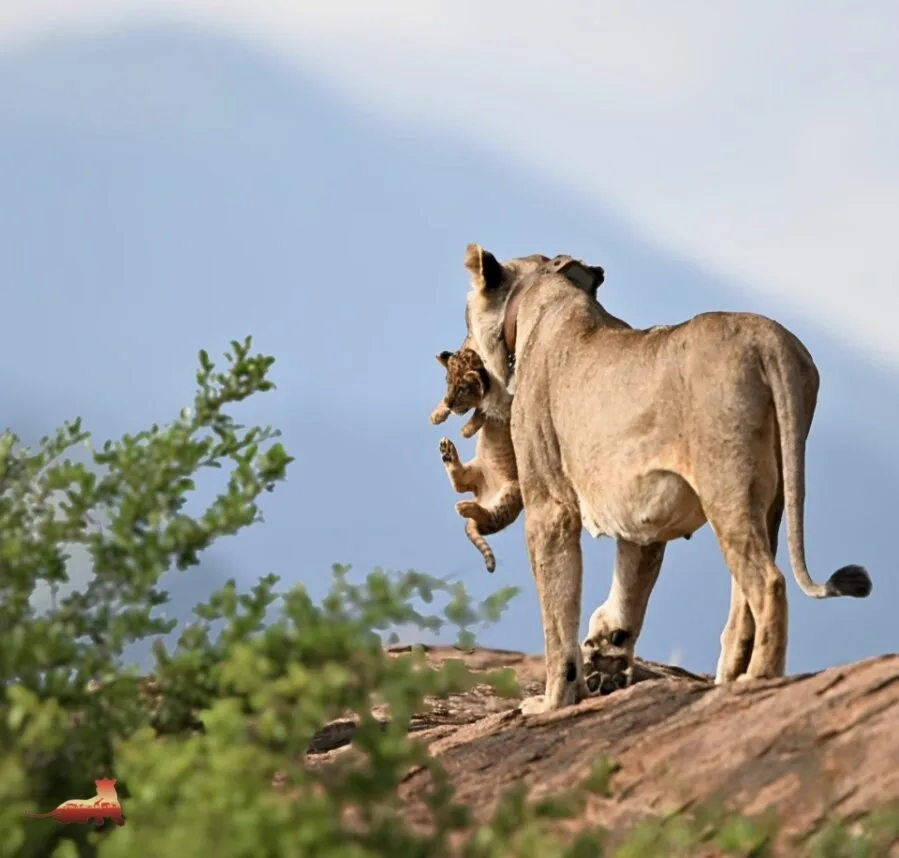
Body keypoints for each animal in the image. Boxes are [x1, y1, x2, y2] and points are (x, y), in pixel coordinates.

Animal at [430, 347, 522, 573]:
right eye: (447, 381)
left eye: (462, 390)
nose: (449, 403)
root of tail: (482, 496)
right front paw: (439, 413)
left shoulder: (506, 401)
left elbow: (483, 410)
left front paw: (467, 428)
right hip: (475, 469)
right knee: (460, 485)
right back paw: (447, 451)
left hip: (512, 493)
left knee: (488, 516)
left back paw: (466, 508)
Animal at [459, 243, 872, 715]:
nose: (458, 357)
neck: (547, 298)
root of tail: (769, 338)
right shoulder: (642, 514)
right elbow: (631, 583)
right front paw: (606, 647)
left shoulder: (550, 507)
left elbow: (557, 614)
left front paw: (553, 702)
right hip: (773, 497)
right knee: (743, 600)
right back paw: (726, 679)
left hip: (726, 484)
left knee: (769, 583)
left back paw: (756, 679)